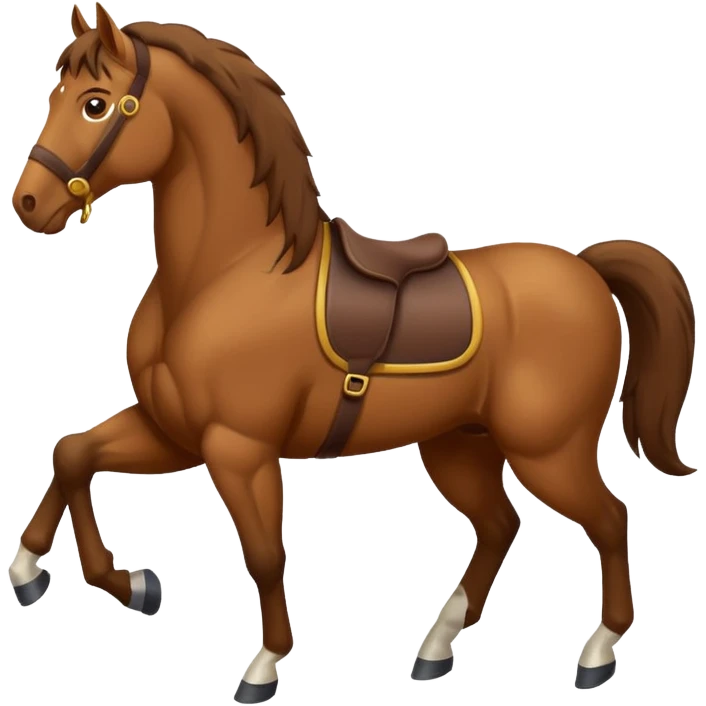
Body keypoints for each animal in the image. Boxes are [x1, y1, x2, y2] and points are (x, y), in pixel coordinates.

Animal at [10, 3, 697, 702]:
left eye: (95, 103)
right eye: (55, 94)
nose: (29, 203)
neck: (227, 271)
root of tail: (586, 269)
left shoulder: (238, 447)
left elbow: (265, 552)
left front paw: (263, 665)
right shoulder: (173, 432)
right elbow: (73, 456)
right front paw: (85, 579)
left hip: (548, 452)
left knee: (610, 518)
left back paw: (597, 653)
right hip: (459, 445)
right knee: (501, 525)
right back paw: (437, 646)